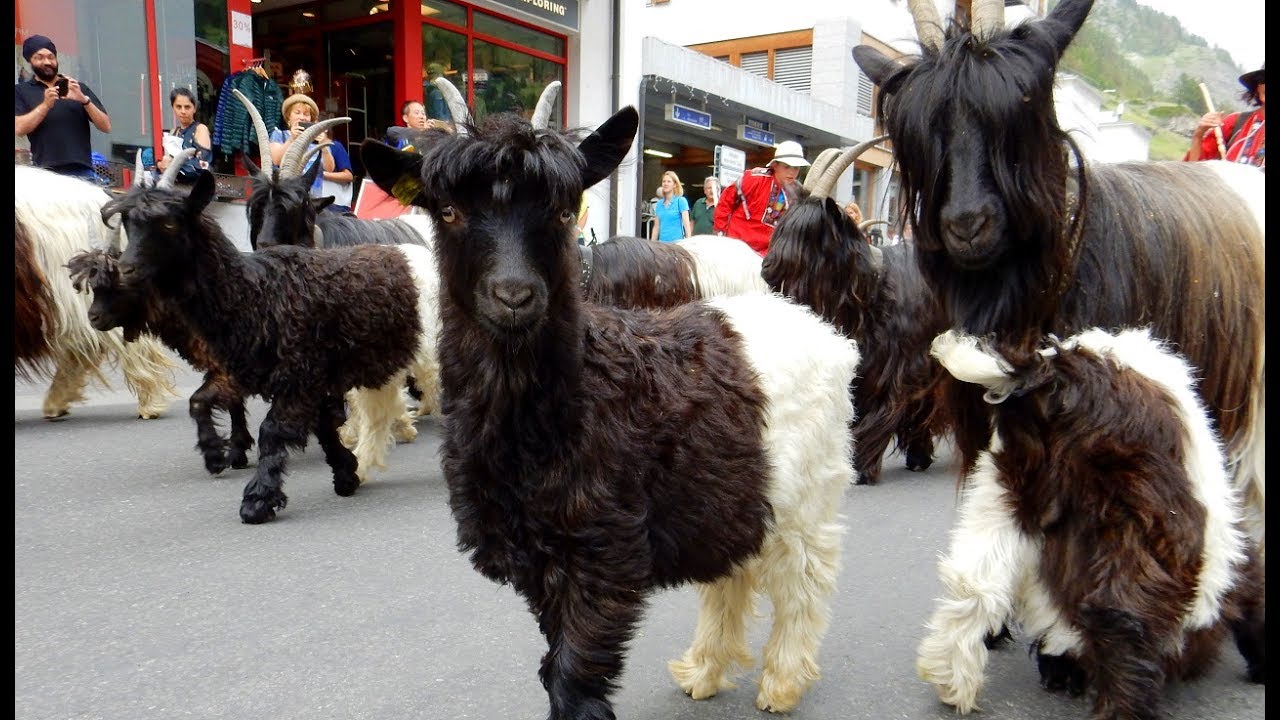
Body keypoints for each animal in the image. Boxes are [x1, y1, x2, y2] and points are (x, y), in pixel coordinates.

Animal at [104, 161, 439, 523]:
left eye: (168, 222)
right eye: (127, 220)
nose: (125, 270)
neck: (257, 292)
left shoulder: (300, 376)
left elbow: (274, 431)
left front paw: (258, 499)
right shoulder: (265, 374)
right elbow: (203, 403)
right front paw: (217, 455)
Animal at [361, 105, 860, 718]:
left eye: (562, 208)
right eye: (448, 210)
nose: (514, 296)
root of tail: (814, 323)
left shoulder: (604, 553)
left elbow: (573, 674)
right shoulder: (542, 560)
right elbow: (557, 663)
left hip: (808, 496)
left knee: (805, 581)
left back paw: (783, 682)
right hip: (736, 487)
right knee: (735, 570)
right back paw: (704, 669)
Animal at [763, 137, 952, 484]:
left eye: (811, 231)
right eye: (782, 225)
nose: (768, 269)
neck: (872, 289)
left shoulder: (899, 367)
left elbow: (884, 409)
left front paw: (862, 467)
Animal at [918, 327, 1265, 720]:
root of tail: (1057, 377)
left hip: (1002, 494)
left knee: (973, 588)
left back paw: (952, 682)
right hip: (1131, 510)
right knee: (1119, 613)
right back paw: (1125, 707)